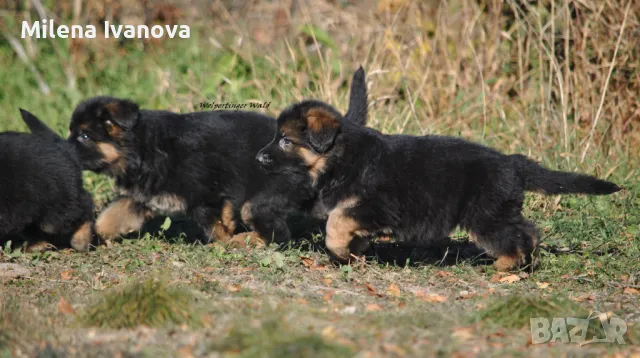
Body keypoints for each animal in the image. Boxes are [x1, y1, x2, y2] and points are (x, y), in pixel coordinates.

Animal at [67, 67, 368, 246]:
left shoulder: (208, 194)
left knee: (278, 234)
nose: (62, 149)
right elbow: (108, 219)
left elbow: (216, 226)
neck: (141, 148)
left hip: (264, 197)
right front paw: (94, 237)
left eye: (83, 137)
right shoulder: (138, 198)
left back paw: (248, 241)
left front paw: (227, 241)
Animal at [258, 91, 624, 270]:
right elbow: (351, 230)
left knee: (515, 236)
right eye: (276, 137)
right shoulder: (366, 213)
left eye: (286, 141)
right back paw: (522, 262)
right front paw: (354, 255)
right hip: (500, 210)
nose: (259, 158)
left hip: (484, 215)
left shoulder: (375, 206)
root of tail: (511, 162)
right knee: (529, 231)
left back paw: (503, 266)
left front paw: (340, 251)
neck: (340, 155)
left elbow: (336, 221)